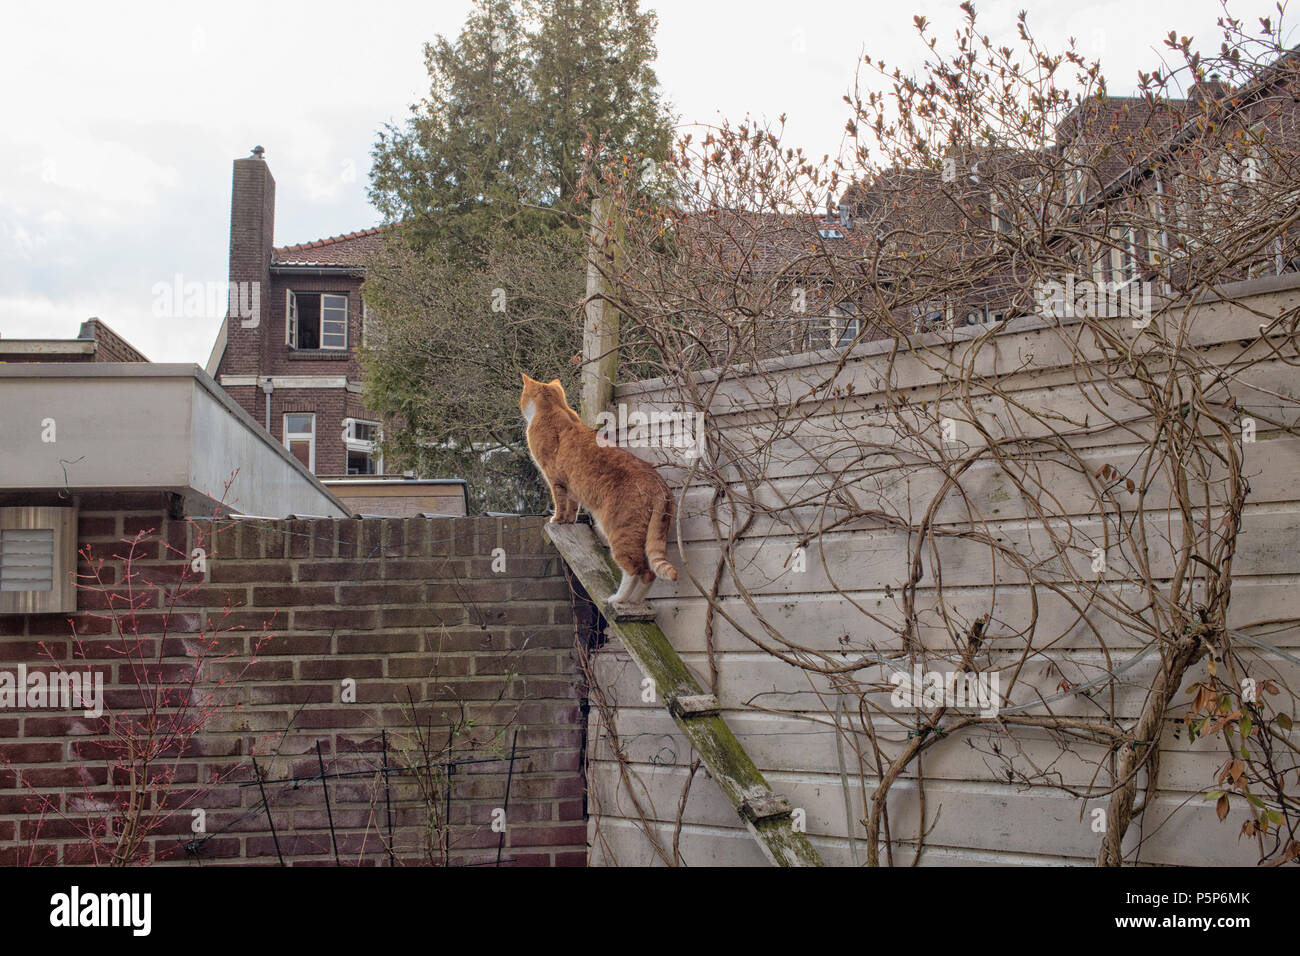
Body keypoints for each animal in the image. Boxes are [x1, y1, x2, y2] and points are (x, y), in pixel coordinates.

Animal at [520, 374, 681, 606]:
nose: (520, 406)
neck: (554, 408)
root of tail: (658, 482)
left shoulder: (555, 479)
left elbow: (560, 503)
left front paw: (556, 519)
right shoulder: (572, 487)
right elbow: (572, 506)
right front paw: (568, 521)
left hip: (620, 532)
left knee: (635, 569)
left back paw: (617, 599)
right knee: (649, 573)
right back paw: (634, 602)